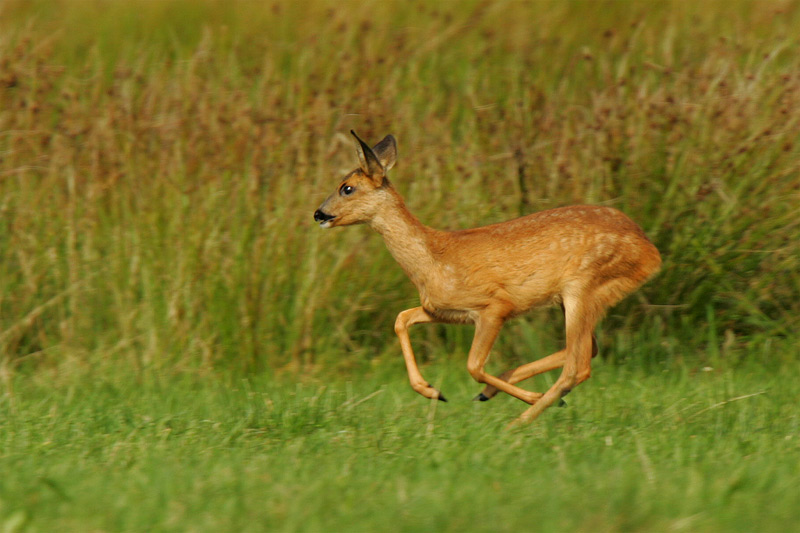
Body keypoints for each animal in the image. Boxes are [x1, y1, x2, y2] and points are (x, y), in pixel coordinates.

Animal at [312, 131, 664, 426]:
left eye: (347, 187)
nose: (318, 214)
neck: (433, 260)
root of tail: (651, 252)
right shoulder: (445, 309)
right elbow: (401, 318)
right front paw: (432, 390)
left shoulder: (495, 306)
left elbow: (473, 366)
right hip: (578, 298)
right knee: (587, 350)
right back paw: (504, 396)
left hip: (585, 286)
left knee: (578, 365)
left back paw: (519, 422)